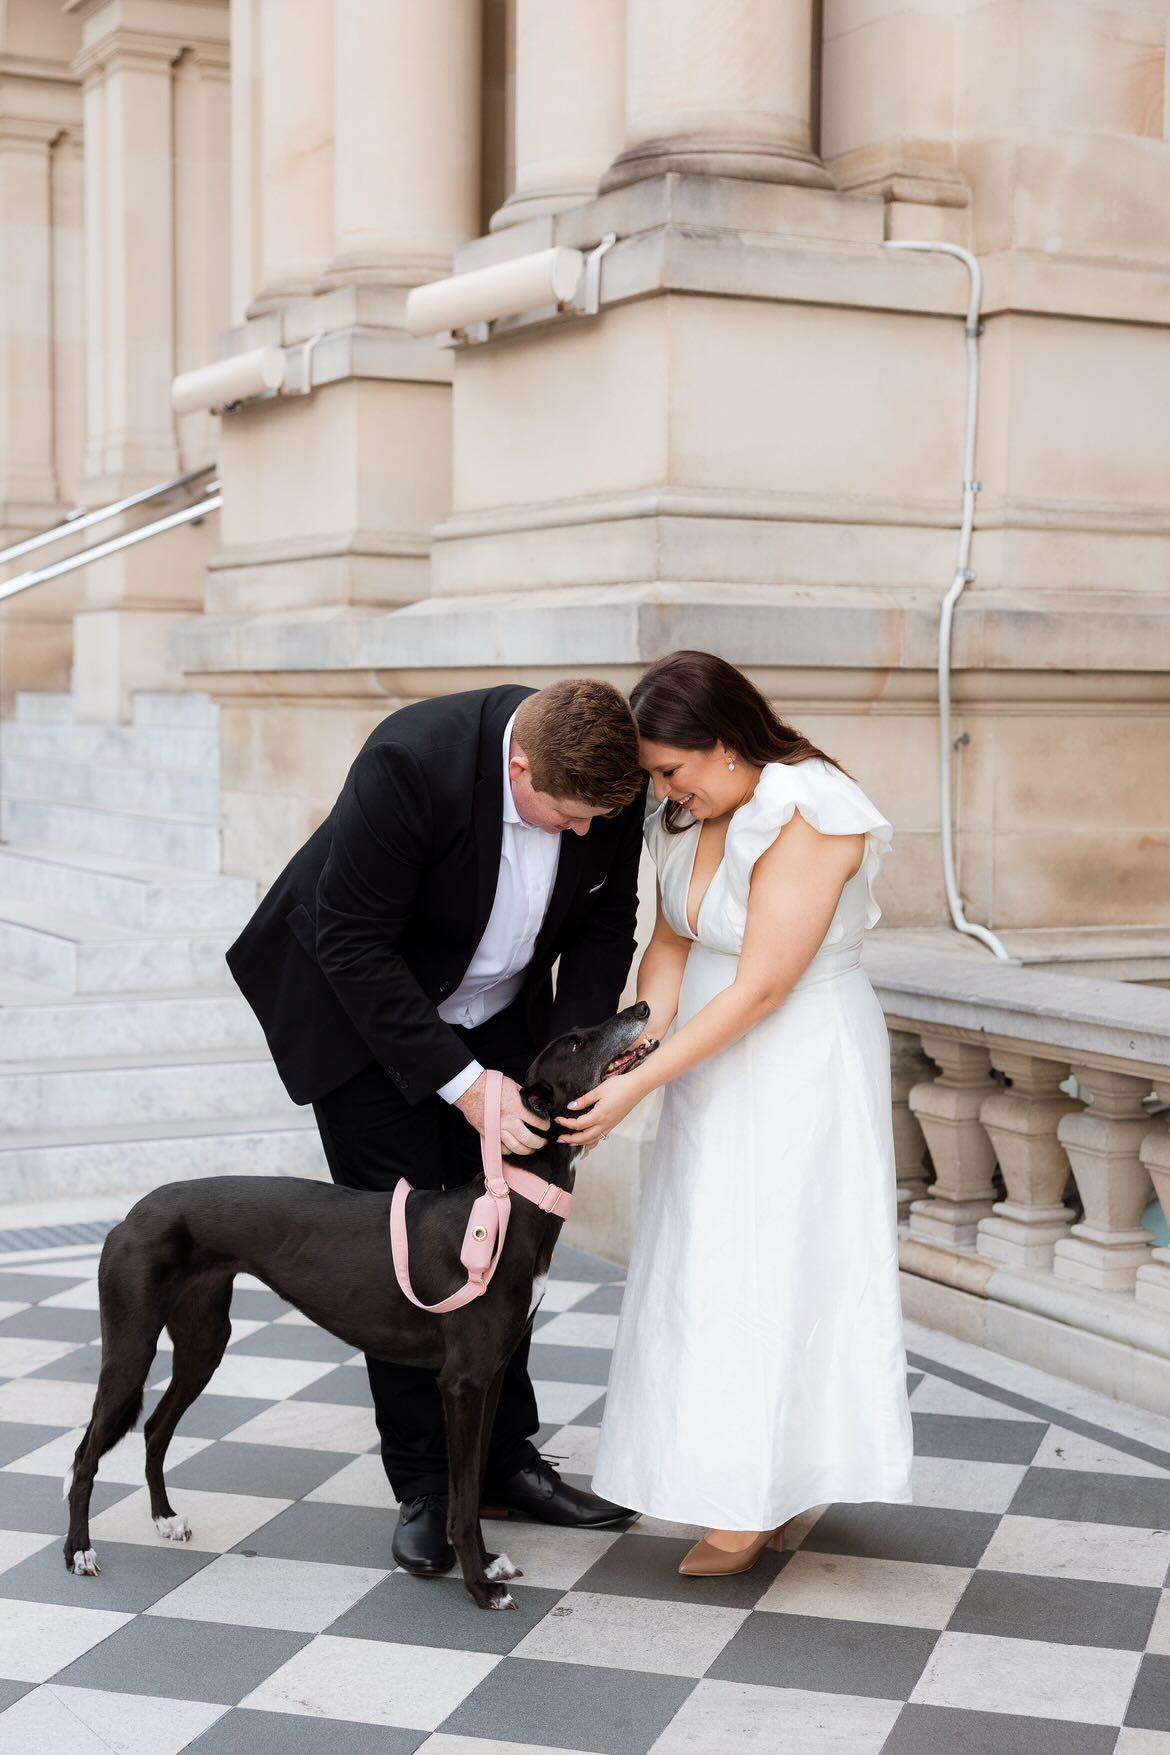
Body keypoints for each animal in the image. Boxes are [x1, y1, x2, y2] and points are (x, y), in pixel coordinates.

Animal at [64, 1003, 656, 1607]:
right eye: (577, 1043)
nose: (641, 1008)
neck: (509, 1201)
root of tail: (131, 1214)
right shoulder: (461, 1382)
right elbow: (462, 1497)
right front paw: (478, 1585)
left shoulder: (489, 1376)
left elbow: (473, 1484)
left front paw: (488, 1563)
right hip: (130, 1347)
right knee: (86, 1452)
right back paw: (79, 1552)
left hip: (203, 1340)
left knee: (155, 1427)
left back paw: (165, 1519)